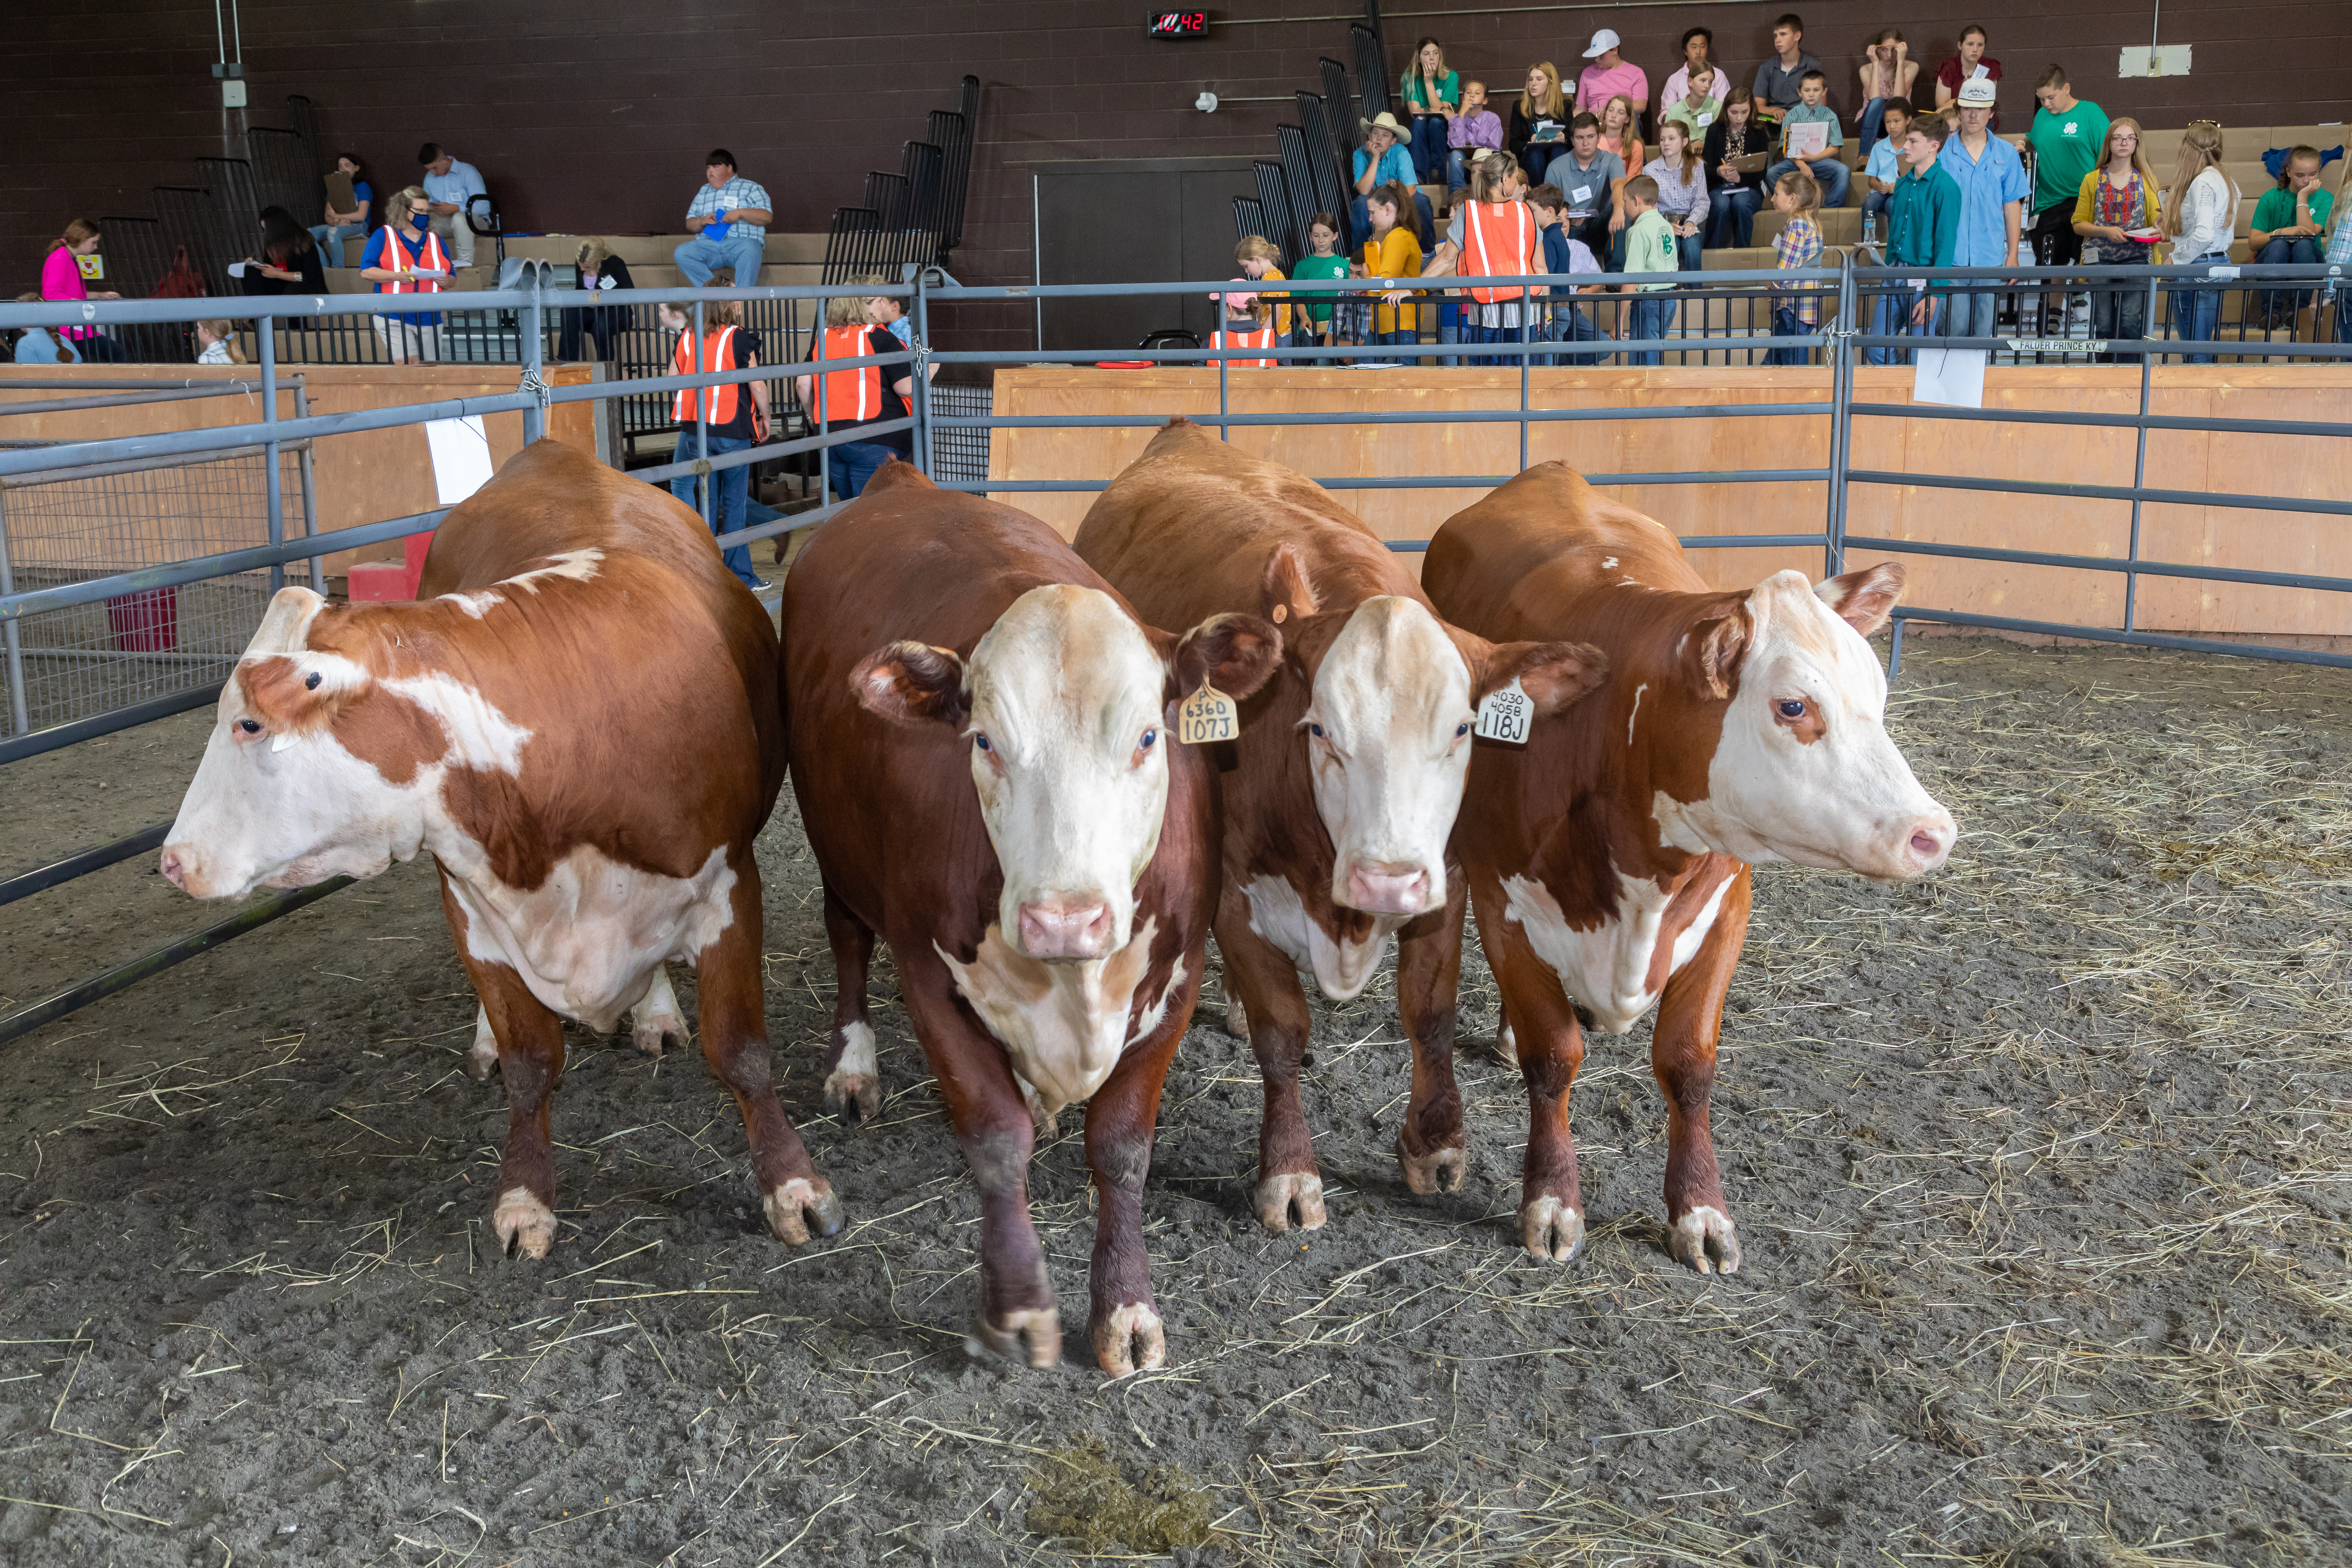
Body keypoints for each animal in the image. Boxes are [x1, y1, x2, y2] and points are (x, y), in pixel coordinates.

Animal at [156, 440, 842, 1260]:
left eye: (251, 723)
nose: (171, 860)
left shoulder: (728, 885)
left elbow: (740, 1050)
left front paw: (794, 1184)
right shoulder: (472, 904)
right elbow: (529, 1062)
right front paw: (525, 1194)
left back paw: (655, 1012)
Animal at [781, 456, 1279, 1373]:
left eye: (1149, 737)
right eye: (984, 741)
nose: (1066, 921)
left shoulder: (1178, 976)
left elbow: (1122, 1147)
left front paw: (1125, 1306)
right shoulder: (930, 975)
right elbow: (993, 1135)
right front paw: (1015, 1307)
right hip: (834, 845)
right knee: (846, 941)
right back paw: (855, 1066)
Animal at [1077, 423, 1609, 1232]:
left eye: (1463, 729)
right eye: (1319, 728)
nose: (1387, 879)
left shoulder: (1446, 883)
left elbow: (1430, 1011)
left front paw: (1436, 1143)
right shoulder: (1233, 891)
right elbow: (1282, 1031)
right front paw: (1289, 1170)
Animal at [1402, 465, 1957, 1279]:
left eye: (1879, 701)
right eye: (1794, 706)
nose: (1931, 833)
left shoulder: (1727, 909)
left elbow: (1689, 1064)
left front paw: (1700, 1210)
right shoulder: (1504, 902)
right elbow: (1553, 1055)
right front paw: (1553, 1200)